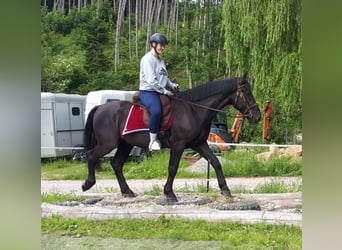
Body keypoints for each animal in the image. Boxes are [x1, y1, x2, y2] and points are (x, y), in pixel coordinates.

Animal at [81, 74, 260, 201]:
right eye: (246, 92)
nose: (257, 116)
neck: (193, 110)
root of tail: (100, 108)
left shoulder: (199, 144)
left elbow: (215, 162)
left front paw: (225, 189)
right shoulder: (178, 145)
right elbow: (173, 168)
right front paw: (169, 193)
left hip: (125, 144)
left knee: (116, 164)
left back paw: (127, 191)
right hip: (108, 143)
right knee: (91, 155)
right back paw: (88, 184)